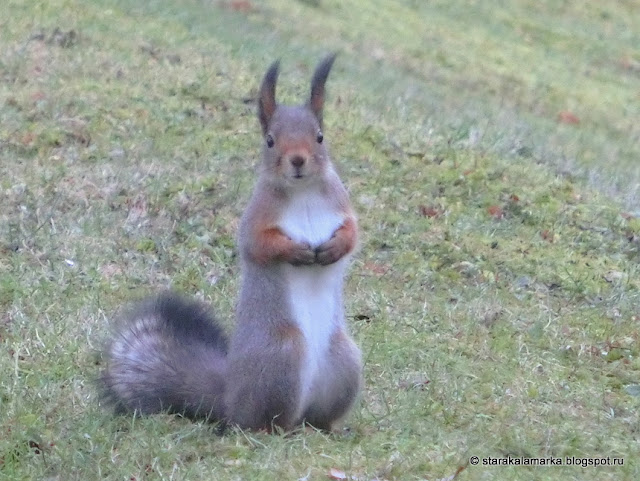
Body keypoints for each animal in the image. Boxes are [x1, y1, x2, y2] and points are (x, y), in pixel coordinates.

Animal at [99, 53, 360, 432]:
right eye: (270, 140)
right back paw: (276, 430)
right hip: (282, 356)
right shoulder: (255, 220)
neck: (303, 192)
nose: (297, 160)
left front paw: (335, 247)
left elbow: (353, 233)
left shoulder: (341, 206)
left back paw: (328, 429)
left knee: (316, 417)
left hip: (344, 361)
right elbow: (259, 246)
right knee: (262, 421)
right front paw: (295, 250)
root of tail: (230, 398)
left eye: (321, 137)